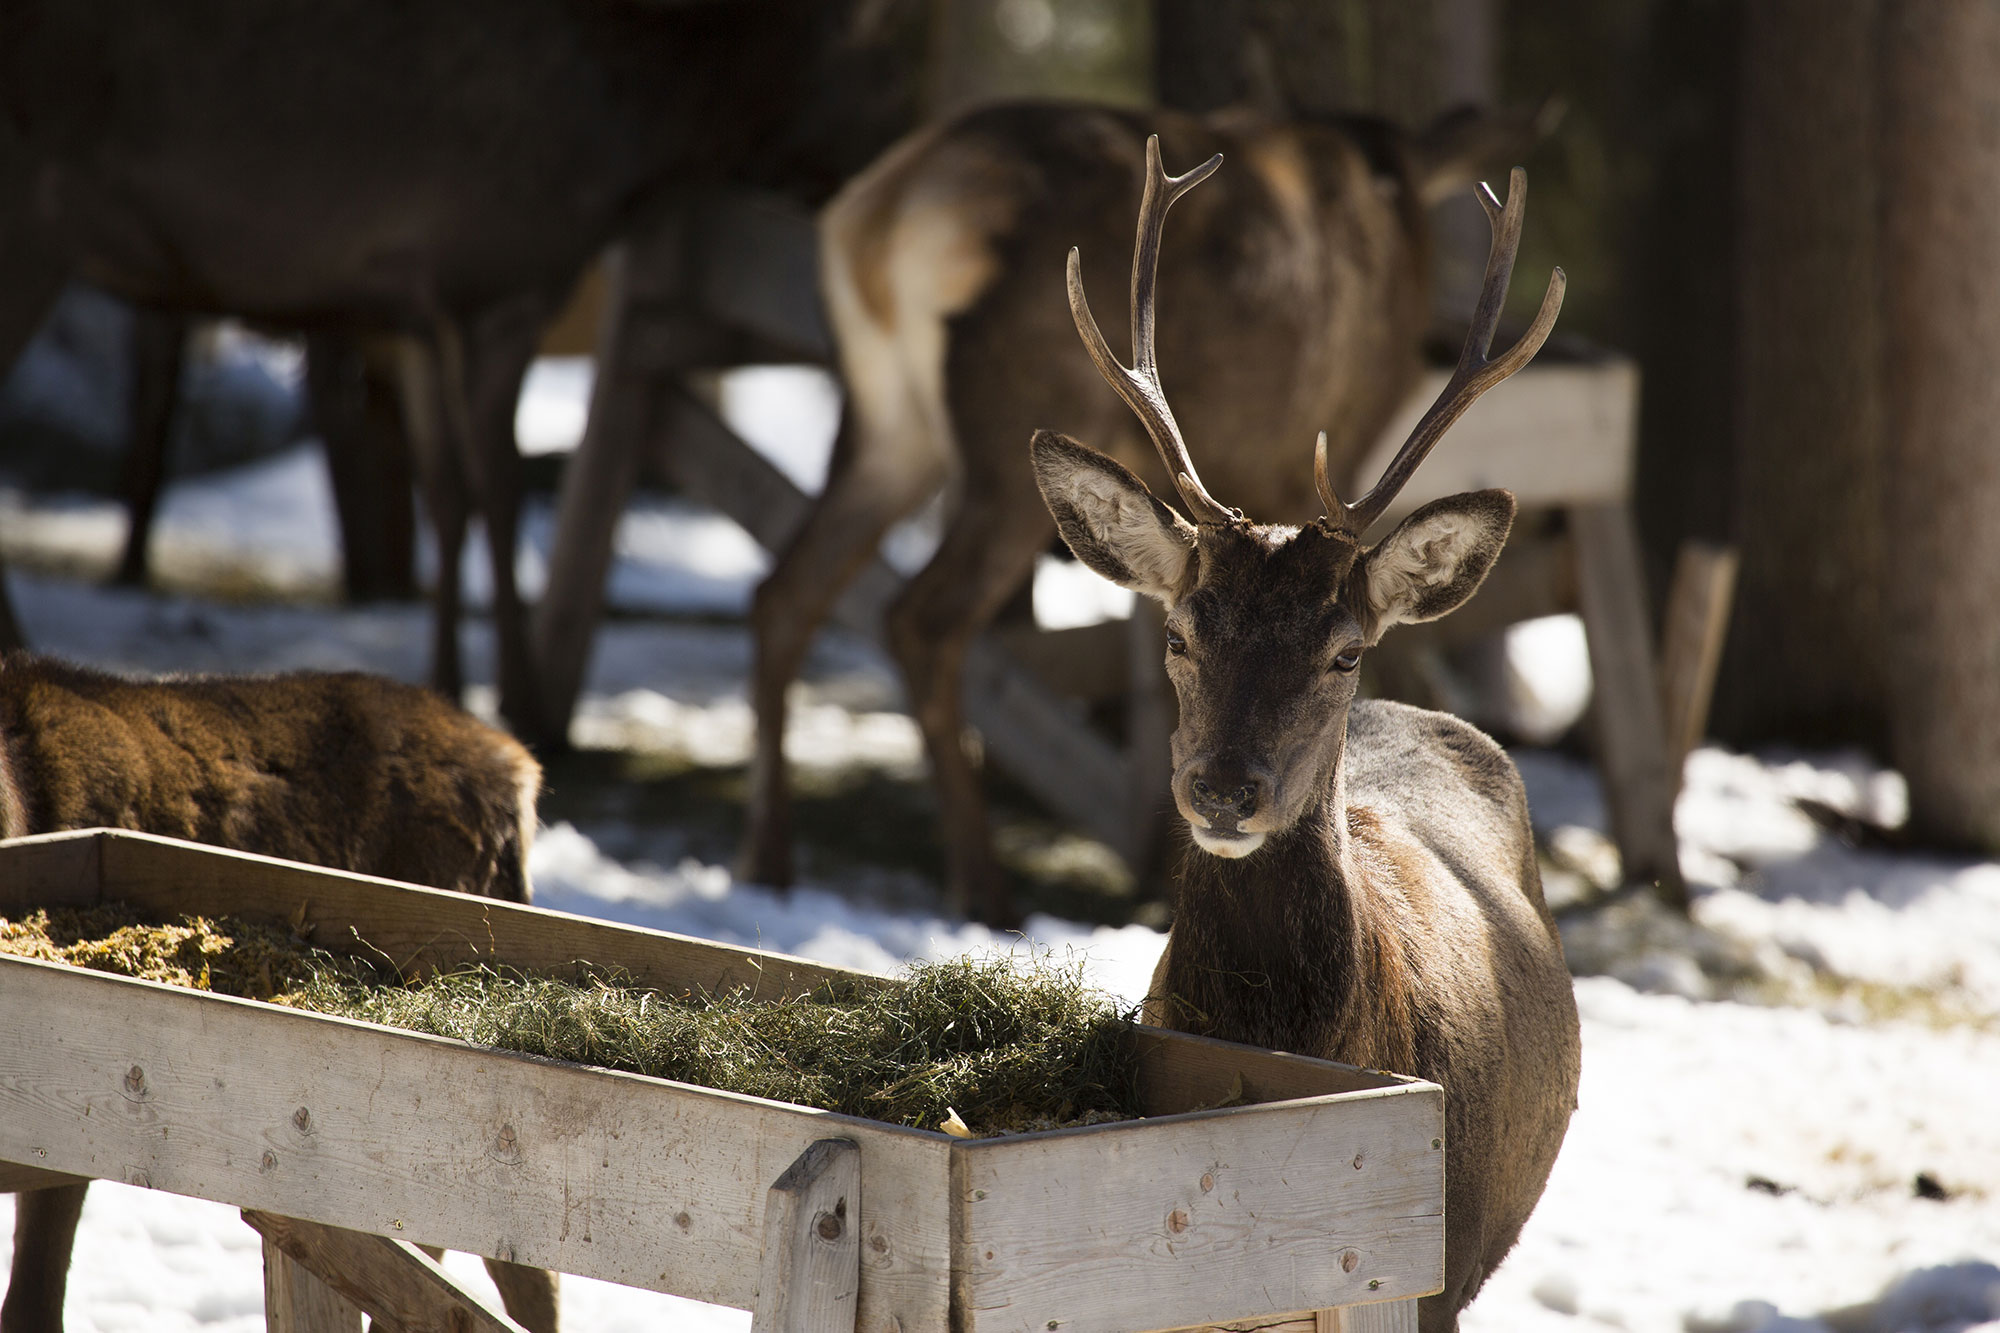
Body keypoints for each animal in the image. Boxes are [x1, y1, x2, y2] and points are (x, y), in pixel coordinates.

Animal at [743, 97, 1547, 925]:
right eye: (1179, 636)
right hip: (1014, 413)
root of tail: (887, 211)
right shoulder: (1321, 436)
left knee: (787, 587)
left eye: (1346, 654)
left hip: (888, 420)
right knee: (922, 616)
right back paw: (983, 887)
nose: (1224, 794)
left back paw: (767, 859)